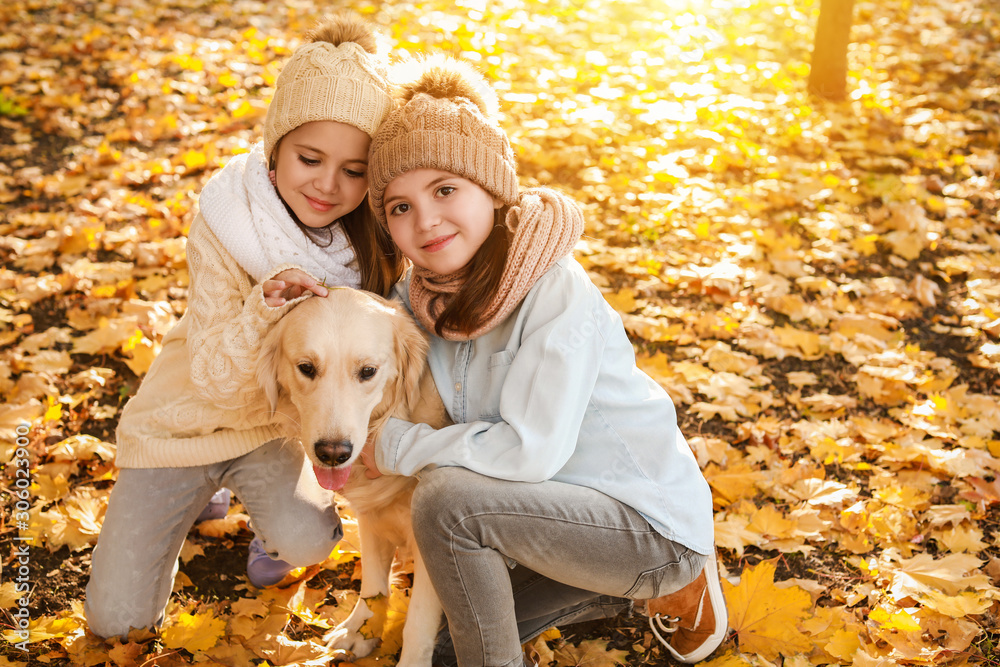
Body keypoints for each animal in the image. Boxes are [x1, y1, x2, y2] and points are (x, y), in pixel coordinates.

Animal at [258, 290, 450, 667]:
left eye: (368, 372)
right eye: (306, 368)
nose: (333, 453)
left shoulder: (430, 542)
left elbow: (418, 622)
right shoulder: (373, 519)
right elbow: (373, 586)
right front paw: (360, 631)